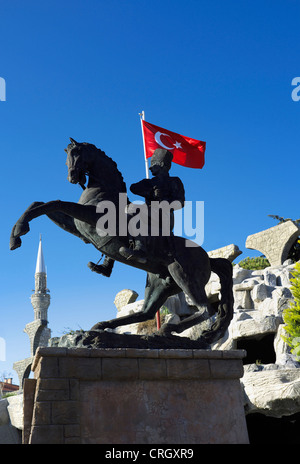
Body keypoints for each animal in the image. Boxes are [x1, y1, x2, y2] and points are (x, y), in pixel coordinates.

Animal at [9, 139, 233, 344]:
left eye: (77, 153)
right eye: (67, 154)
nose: (72, 177)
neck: (105, 192)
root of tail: (208, 258)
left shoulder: (90, 216)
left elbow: (54, 203)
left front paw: (19, 231)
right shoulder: (78, 227)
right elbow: (42, 204)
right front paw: (16, 233)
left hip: (182, 274)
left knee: (205, 309)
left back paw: (168, 328)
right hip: (160, 283)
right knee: (147, 313)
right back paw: (103, 325)